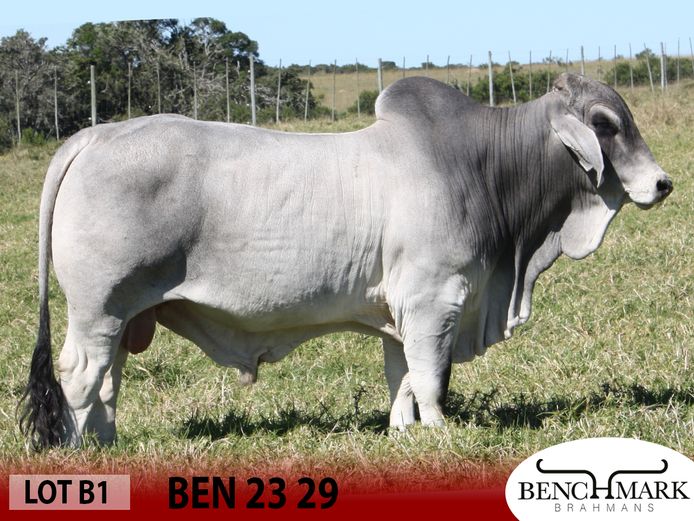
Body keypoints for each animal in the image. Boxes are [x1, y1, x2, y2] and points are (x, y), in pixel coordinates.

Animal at [20, 73, 672, 448]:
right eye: (605, 124)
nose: (663, 183)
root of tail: (95, 136)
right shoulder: (436, 298)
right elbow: (431, 376)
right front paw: (440, 432)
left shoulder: (402, 311)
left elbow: (402, 375)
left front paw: (404, 431)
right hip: (98, 308)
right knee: (80, 377)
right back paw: (80, 453)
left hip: (126, 315)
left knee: (108, 382)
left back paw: (109, 443)